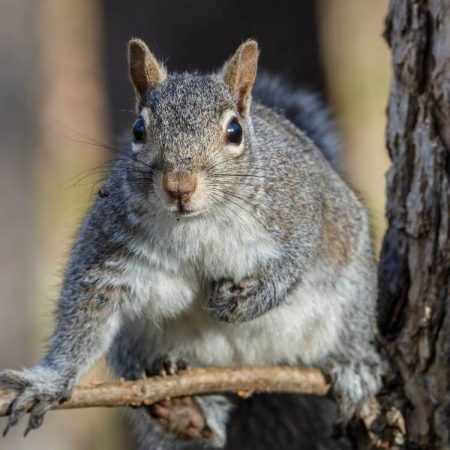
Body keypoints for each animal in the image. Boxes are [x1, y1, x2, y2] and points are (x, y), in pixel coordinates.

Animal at [0, 39, 382, 450]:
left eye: (234, 131)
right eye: (138, 129)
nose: (179, 186)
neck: (196, 224)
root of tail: (251, 365)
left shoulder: (300, 213)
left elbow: (294, 264)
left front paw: (244, 302)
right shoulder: (110, 247)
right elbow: (86, 309)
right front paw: (50, 380)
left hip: (351, 285)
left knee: (352, 325)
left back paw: (354, 366)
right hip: (134, 349)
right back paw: (185, 412)